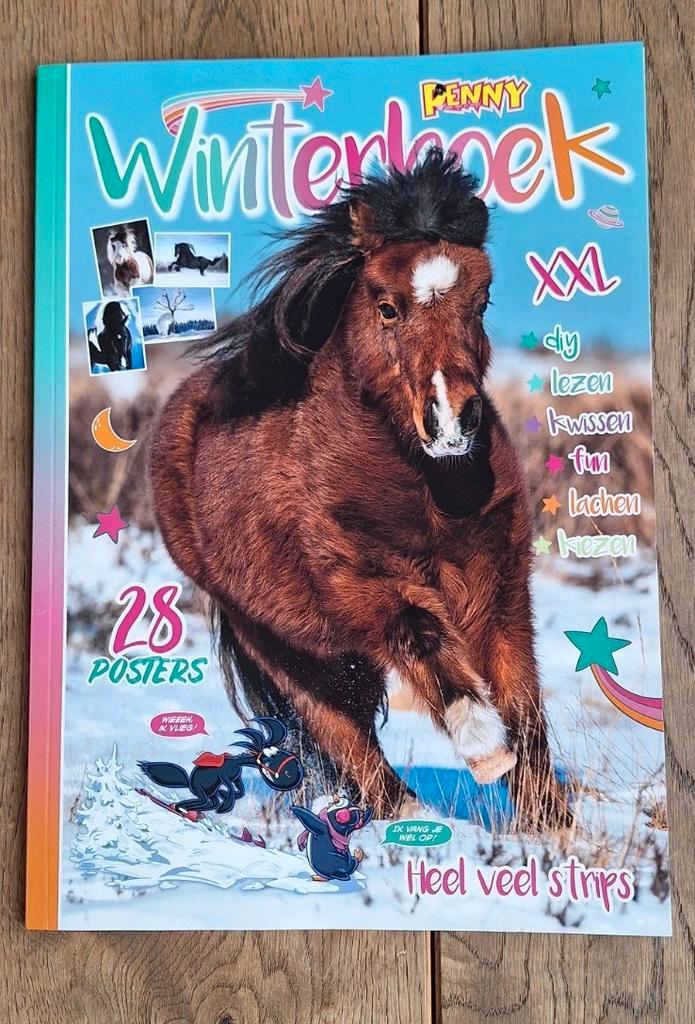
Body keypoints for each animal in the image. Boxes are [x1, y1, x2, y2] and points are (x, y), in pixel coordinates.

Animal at [150, 149, 570, 828]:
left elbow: (522, 701)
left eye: (481, 300)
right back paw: (405, 819)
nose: (452, 421)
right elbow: (425, 639)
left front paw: (552, 826)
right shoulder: (360, 587)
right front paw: (485, 751)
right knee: (339, 728)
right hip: (282, 642)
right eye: (387, 306)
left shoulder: (499, 585)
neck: (424, 493)